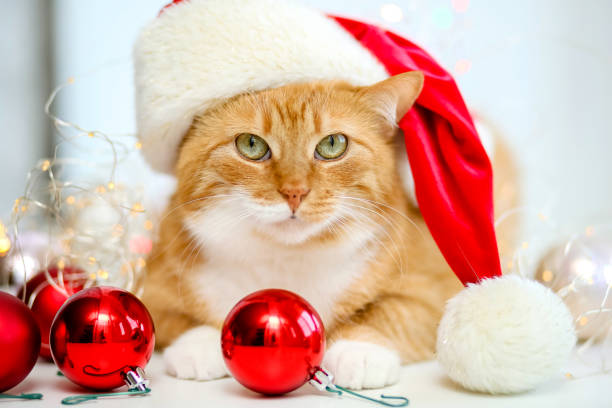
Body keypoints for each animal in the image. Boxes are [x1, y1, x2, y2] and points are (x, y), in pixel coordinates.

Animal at [141, 71, 512, 390]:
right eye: (250, 145)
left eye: (333, 144)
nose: (295, 192)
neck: (286, 262)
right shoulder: (155, 284)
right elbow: (173, 319)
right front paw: (202, 342)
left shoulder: (433, 290)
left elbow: (389, 312)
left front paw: (358, 350)